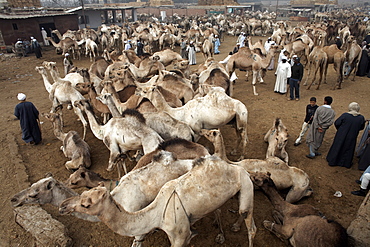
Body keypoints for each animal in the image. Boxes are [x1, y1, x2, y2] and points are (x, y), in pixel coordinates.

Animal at [60, 154, 258, 247]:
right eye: (84, 195)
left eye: (86, 204)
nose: (63, 206)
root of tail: (237, 167)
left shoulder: (179, 236)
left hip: (246, 184)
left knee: (250, 225)